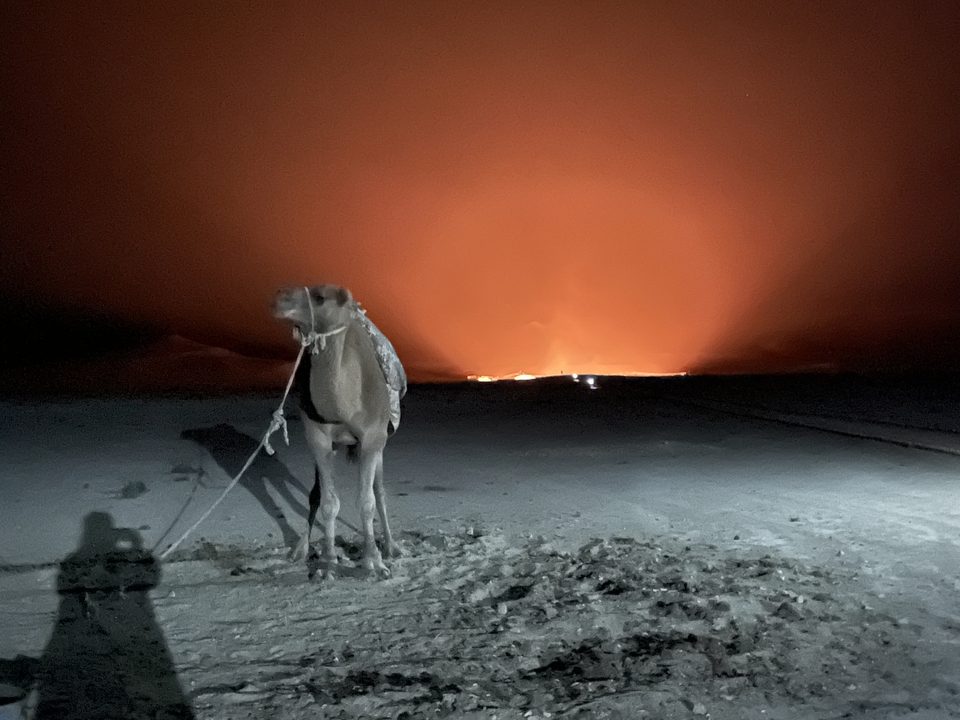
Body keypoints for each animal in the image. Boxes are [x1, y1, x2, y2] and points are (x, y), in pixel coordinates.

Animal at [272, 284, 406, 576]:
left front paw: (373, 561)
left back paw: (392, 547)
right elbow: (328, 502)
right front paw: (327, 563)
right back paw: (301, 548)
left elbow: (367, 501)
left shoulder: (372, 437)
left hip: (381, 440)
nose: (277, 299)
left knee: (380, 492)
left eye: (320, 297)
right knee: (315, 494)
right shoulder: (318, 439)